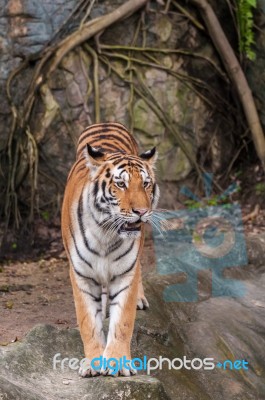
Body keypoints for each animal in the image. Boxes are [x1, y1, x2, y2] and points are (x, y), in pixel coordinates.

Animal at [61, 122, 159, 378]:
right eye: (120, 184)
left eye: (145, 183)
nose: (141, 212)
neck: (106, 233)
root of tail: (105, 123)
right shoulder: (81, 275)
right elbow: (88, 322)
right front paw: (93, 363)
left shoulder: (125, 274)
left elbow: (123, 322)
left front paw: (117, 362)